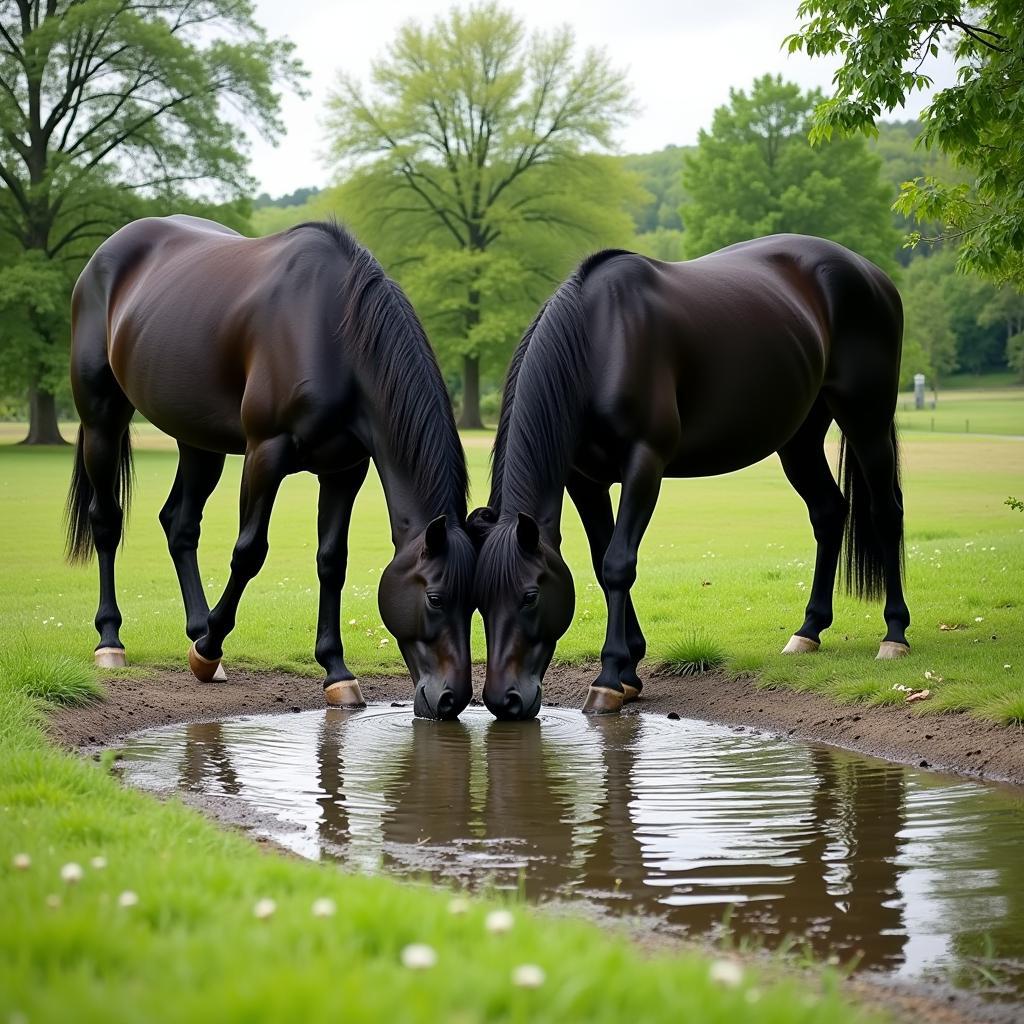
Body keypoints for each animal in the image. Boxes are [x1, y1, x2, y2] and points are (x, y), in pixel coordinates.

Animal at [68, 214, 475, 720]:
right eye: (435, 597)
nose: (451, 698)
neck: (329, 329)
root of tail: (107, 253)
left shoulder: (345, 469)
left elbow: (331, 561)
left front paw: (336, 672)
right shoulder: (266, 453)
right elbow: (248, 552)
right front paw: (208, 652)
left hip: (199, 441)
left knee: (180, 524)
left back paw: (197, 629)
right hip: (102, 420)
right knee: (106, 522)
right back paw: (113, 640)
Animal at [471, 237, 913, 720]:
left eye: (531, 595)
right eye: (477, 600)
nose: (505, 700)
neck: (601, 340)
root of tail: (871, 273)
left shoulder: (644, 464)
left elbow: (618, 564)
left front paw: (609, 678)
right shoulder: (584, 481)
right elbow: (602, 561)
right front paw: (629, 671)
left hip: (867, 420)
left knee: (885, 513)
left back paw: (894, 635)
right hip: (799, 440)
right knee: (829, 513)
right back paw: (808, 630)